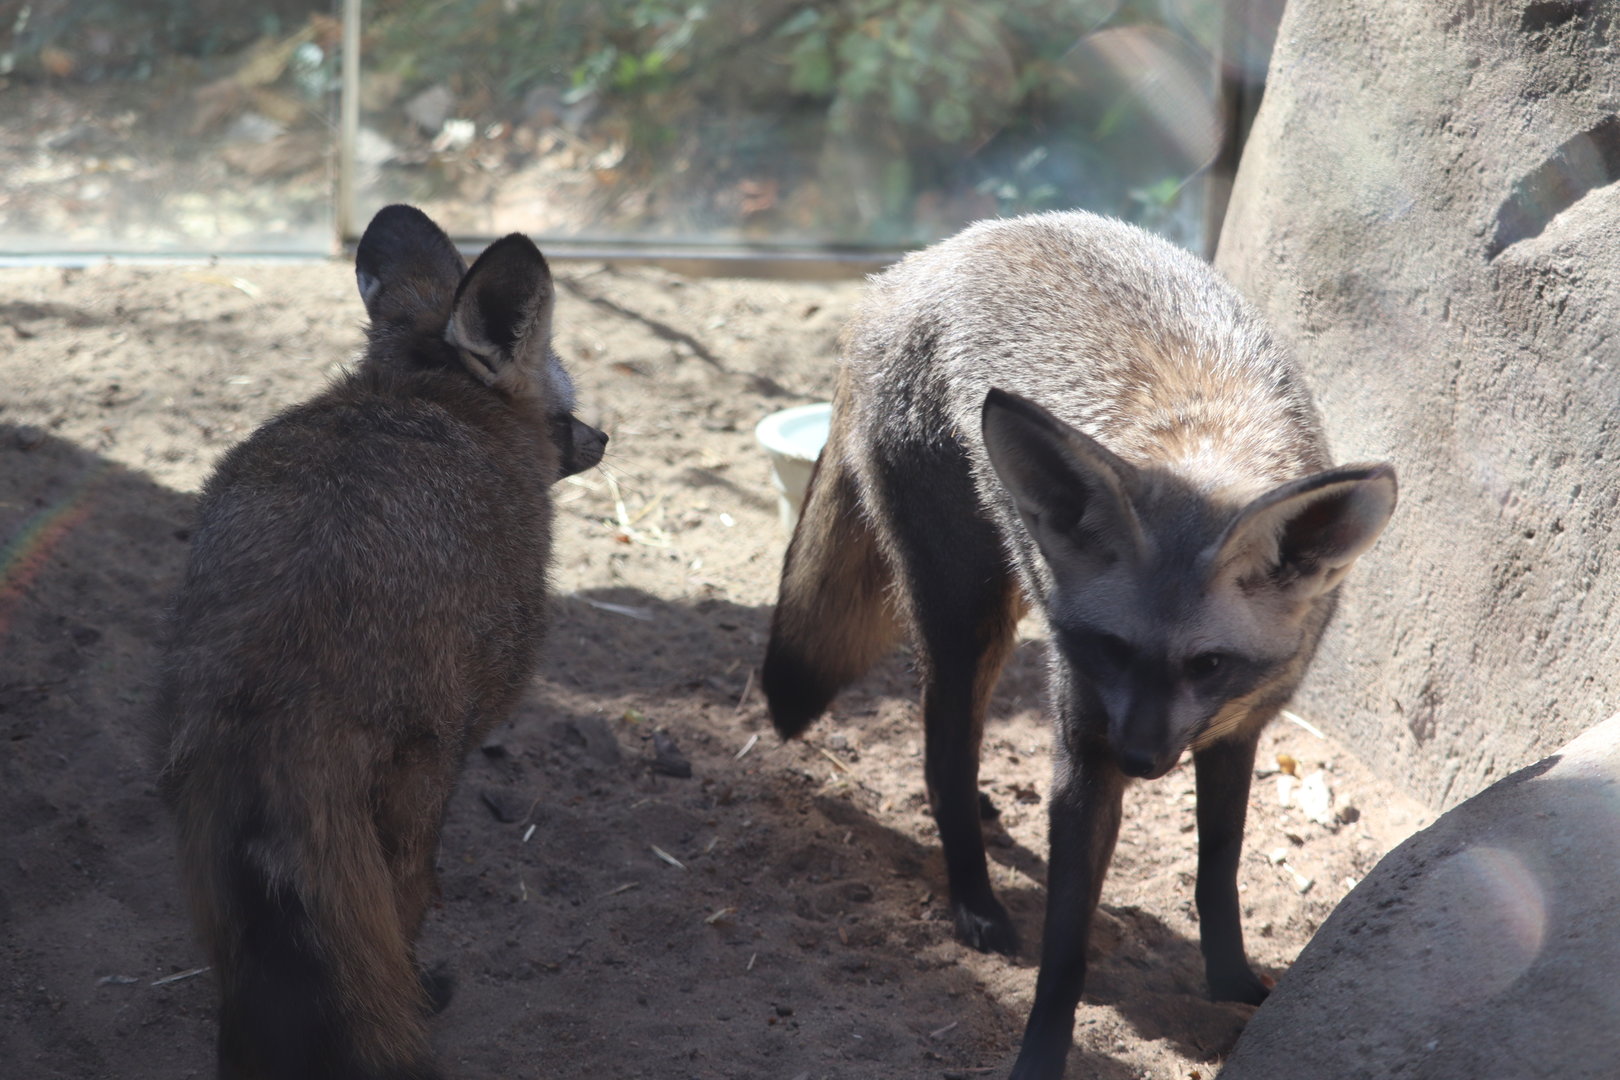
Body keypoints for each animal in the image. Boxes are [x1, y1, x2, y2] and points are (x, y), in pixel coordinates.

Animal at [154, 205, 607, 1080]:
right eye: (564, 398)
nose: (604, 438)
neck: (421, 394)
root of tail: (277, 686)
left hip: (212, 845)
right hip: (408, 790)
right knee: (394, 924)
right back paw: (422, 996)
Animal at [761, 210, 1396, 1080]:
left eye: (1208, 664)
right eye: (1110, 648)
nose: (1138, 761)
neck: (1205, 439)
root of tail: (923, 260)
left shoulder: (1239, 730)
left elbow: (1219, 871)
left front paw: (1232, 983)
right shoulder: (1081, 746)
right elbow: (1066, 948)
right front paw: (1040, 1053)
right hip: (967, 616)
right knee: (944, 756)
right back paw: (974, 897)